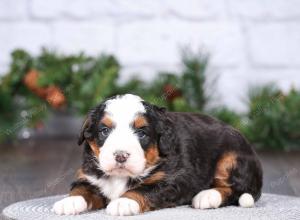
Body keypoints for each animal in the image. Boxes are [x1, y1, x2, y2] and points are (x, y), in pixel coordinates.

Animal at [53, 93, 262, 216]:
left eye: (142, 133)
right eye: (104, 131)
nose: (120, 156)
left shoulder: (172, 180)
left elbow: (144, 189)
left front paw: (124, 202)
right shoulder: (88, 174)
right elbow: (81, 189)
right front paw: (69, 202)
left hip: (231, 157)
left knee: (237, 188)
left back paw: (207, 196)